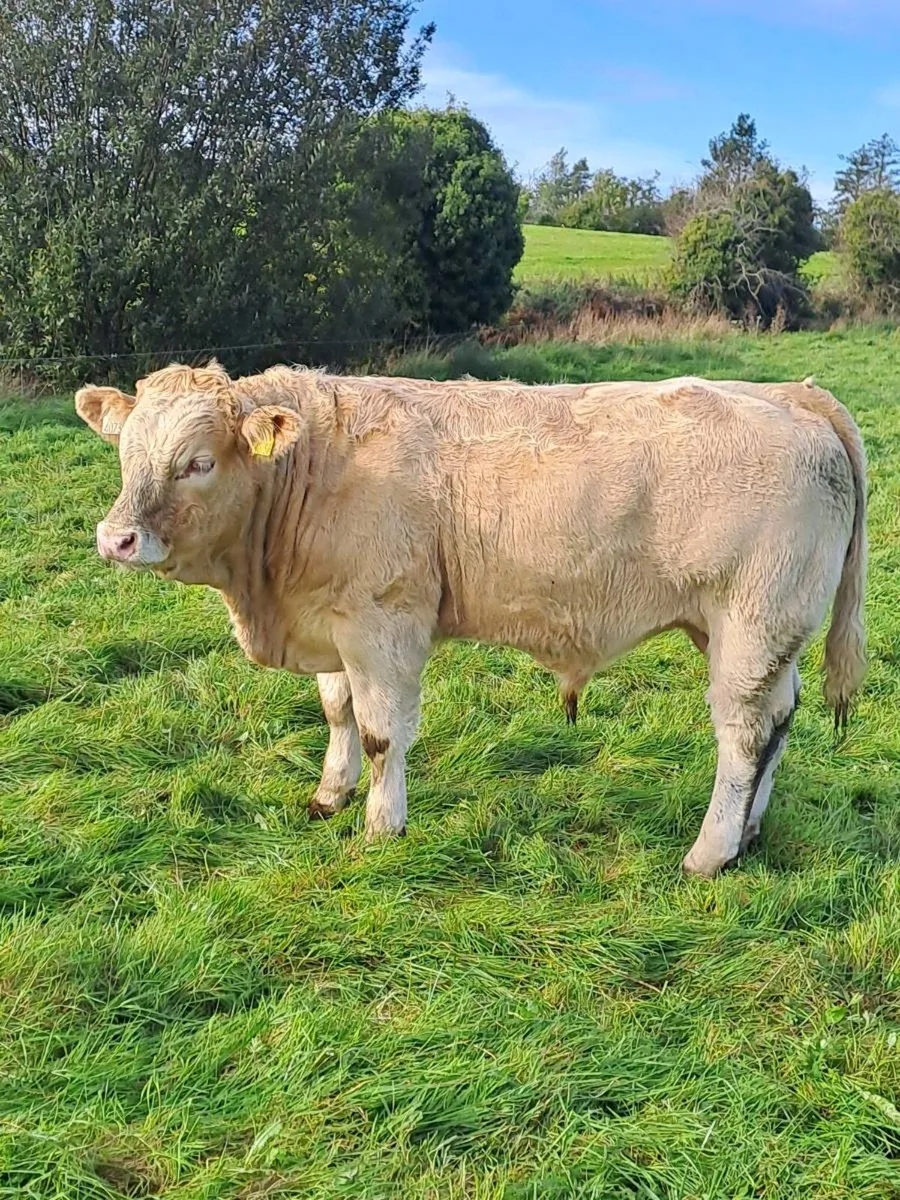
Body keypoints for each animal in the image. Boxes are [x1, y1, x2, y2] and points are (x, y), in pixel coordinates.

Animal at [75, 362, 867, 877]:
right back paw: (750, 832)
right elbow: (336, 712)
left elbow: (381, 733)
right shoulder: (333, 624)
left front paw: (381, 827)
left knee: (743, 735)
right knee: (778, 722)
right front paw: (329, 795)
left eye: (198, 462)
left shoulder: (385, 625)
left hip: (752, 624)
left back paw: (710, 853)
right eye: (124, 453)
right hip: (756, 636)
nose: (116, 539)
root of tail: (794, 396)